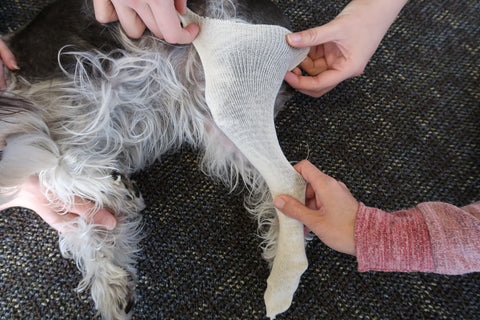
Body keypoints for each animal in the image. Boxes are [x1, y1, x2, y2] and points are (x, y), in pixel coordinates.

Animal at [0, 1, 308, 318]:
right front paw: (110, 285)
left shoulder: (85, 105)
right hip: (223, 133)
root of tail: (287, 32)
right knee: (277, 189)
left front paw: (111, 188)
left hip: (234, 98)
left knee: (291, 179)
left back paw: (283, 280)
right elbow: (86, 227)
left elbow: (53, 172)